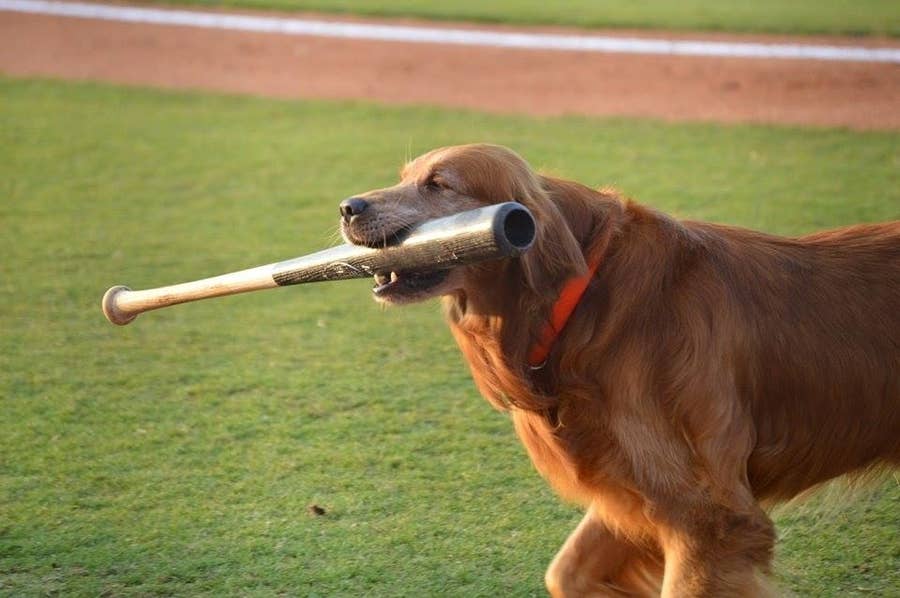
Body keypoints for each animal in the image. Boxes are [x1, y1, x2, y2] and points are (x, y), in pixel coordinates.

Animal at [340, 143, 900, 596]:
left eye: (438, 184)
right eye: (405, 176)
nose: (348, 207)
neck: (582, 295)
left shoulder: (711, 514)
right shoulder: (635, 486)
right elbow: (565, 573)